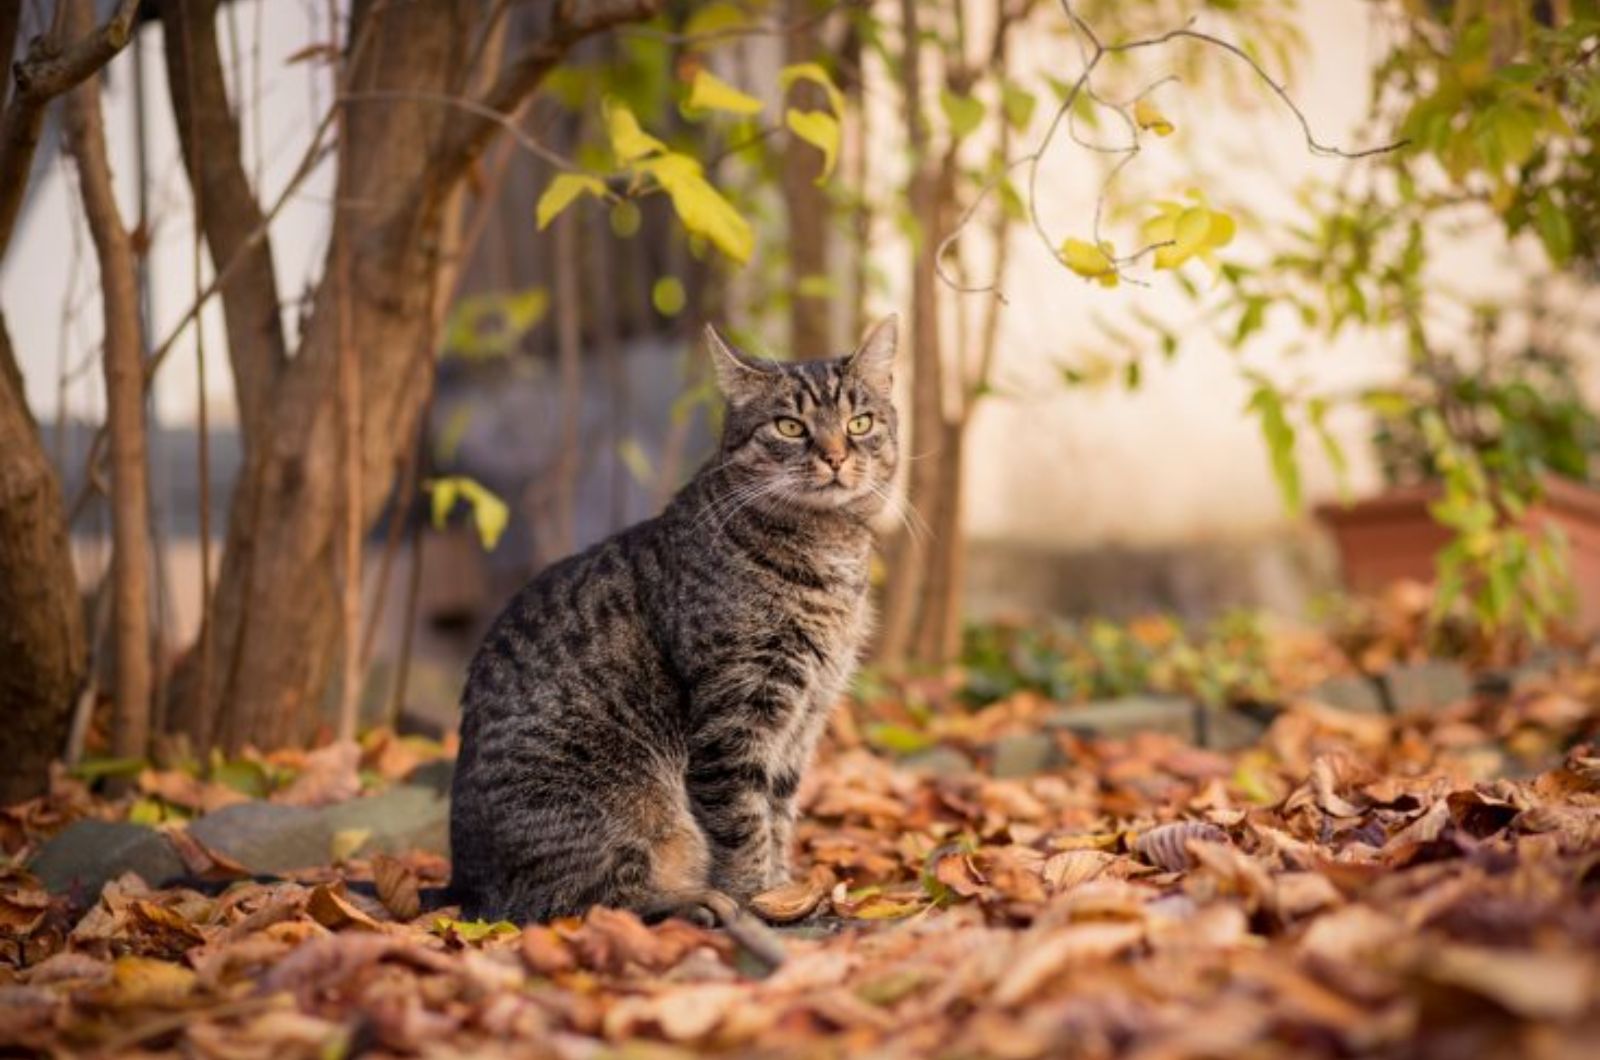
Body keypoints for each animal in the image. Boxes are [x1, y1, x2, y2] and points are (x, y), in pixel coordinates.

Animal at [451, 313, 902, 922]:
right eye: (789, 427)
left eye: (860, 422)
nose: (834, 455)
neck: (829, 548)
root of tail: (463, 889)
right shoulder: (734, 716)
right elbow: (743, 823)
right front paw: (756, 896)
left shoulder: (804, 718)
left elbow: (779, 813)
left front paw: (782, 886)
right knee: (588, 903)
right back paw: (698, 903)